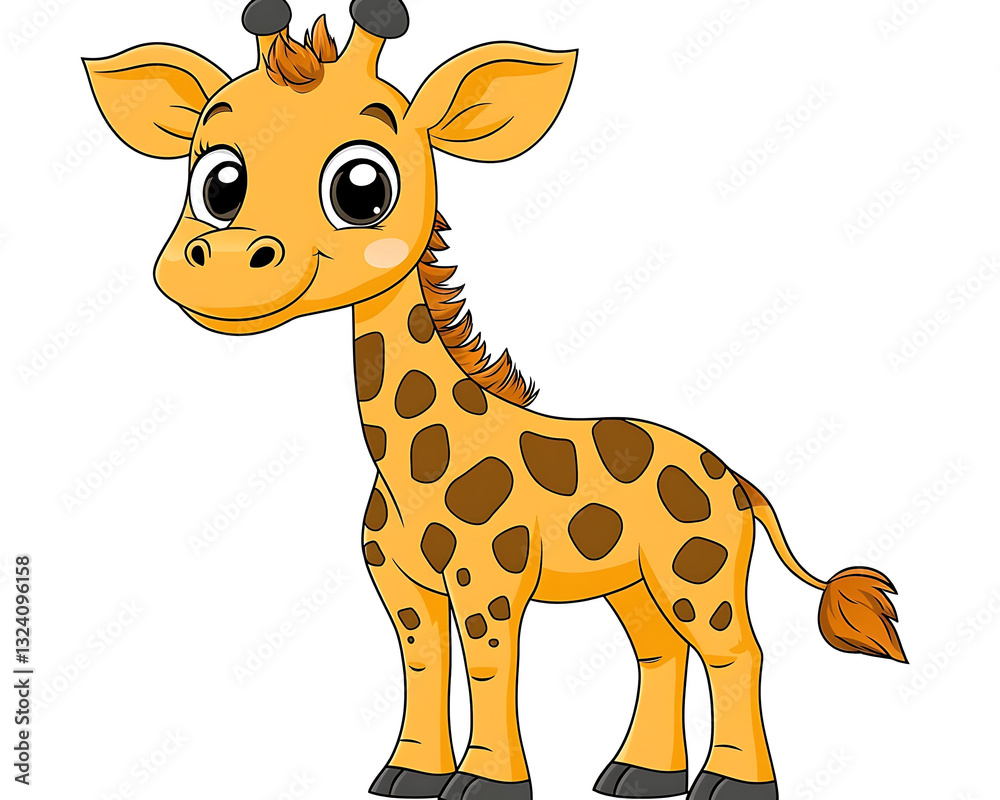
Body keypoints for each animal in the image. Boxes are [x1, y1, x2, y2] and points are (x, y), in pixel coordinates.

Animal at [84, 1, 906, 798]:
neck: (408, 466)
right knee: (659, 650)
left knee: (736, 651)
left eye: (362, 188)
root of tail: (736, 479)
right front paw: (409, 775)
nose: (223, 265)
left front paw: (484, 783)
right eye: (217, 180)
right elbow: (424, 666)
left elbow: (488, 668)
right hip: (635, 582)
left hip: (695, 571)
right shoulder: (404, 588)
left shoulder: (491, 582)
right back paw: (637, 777)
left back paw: (729, 785)